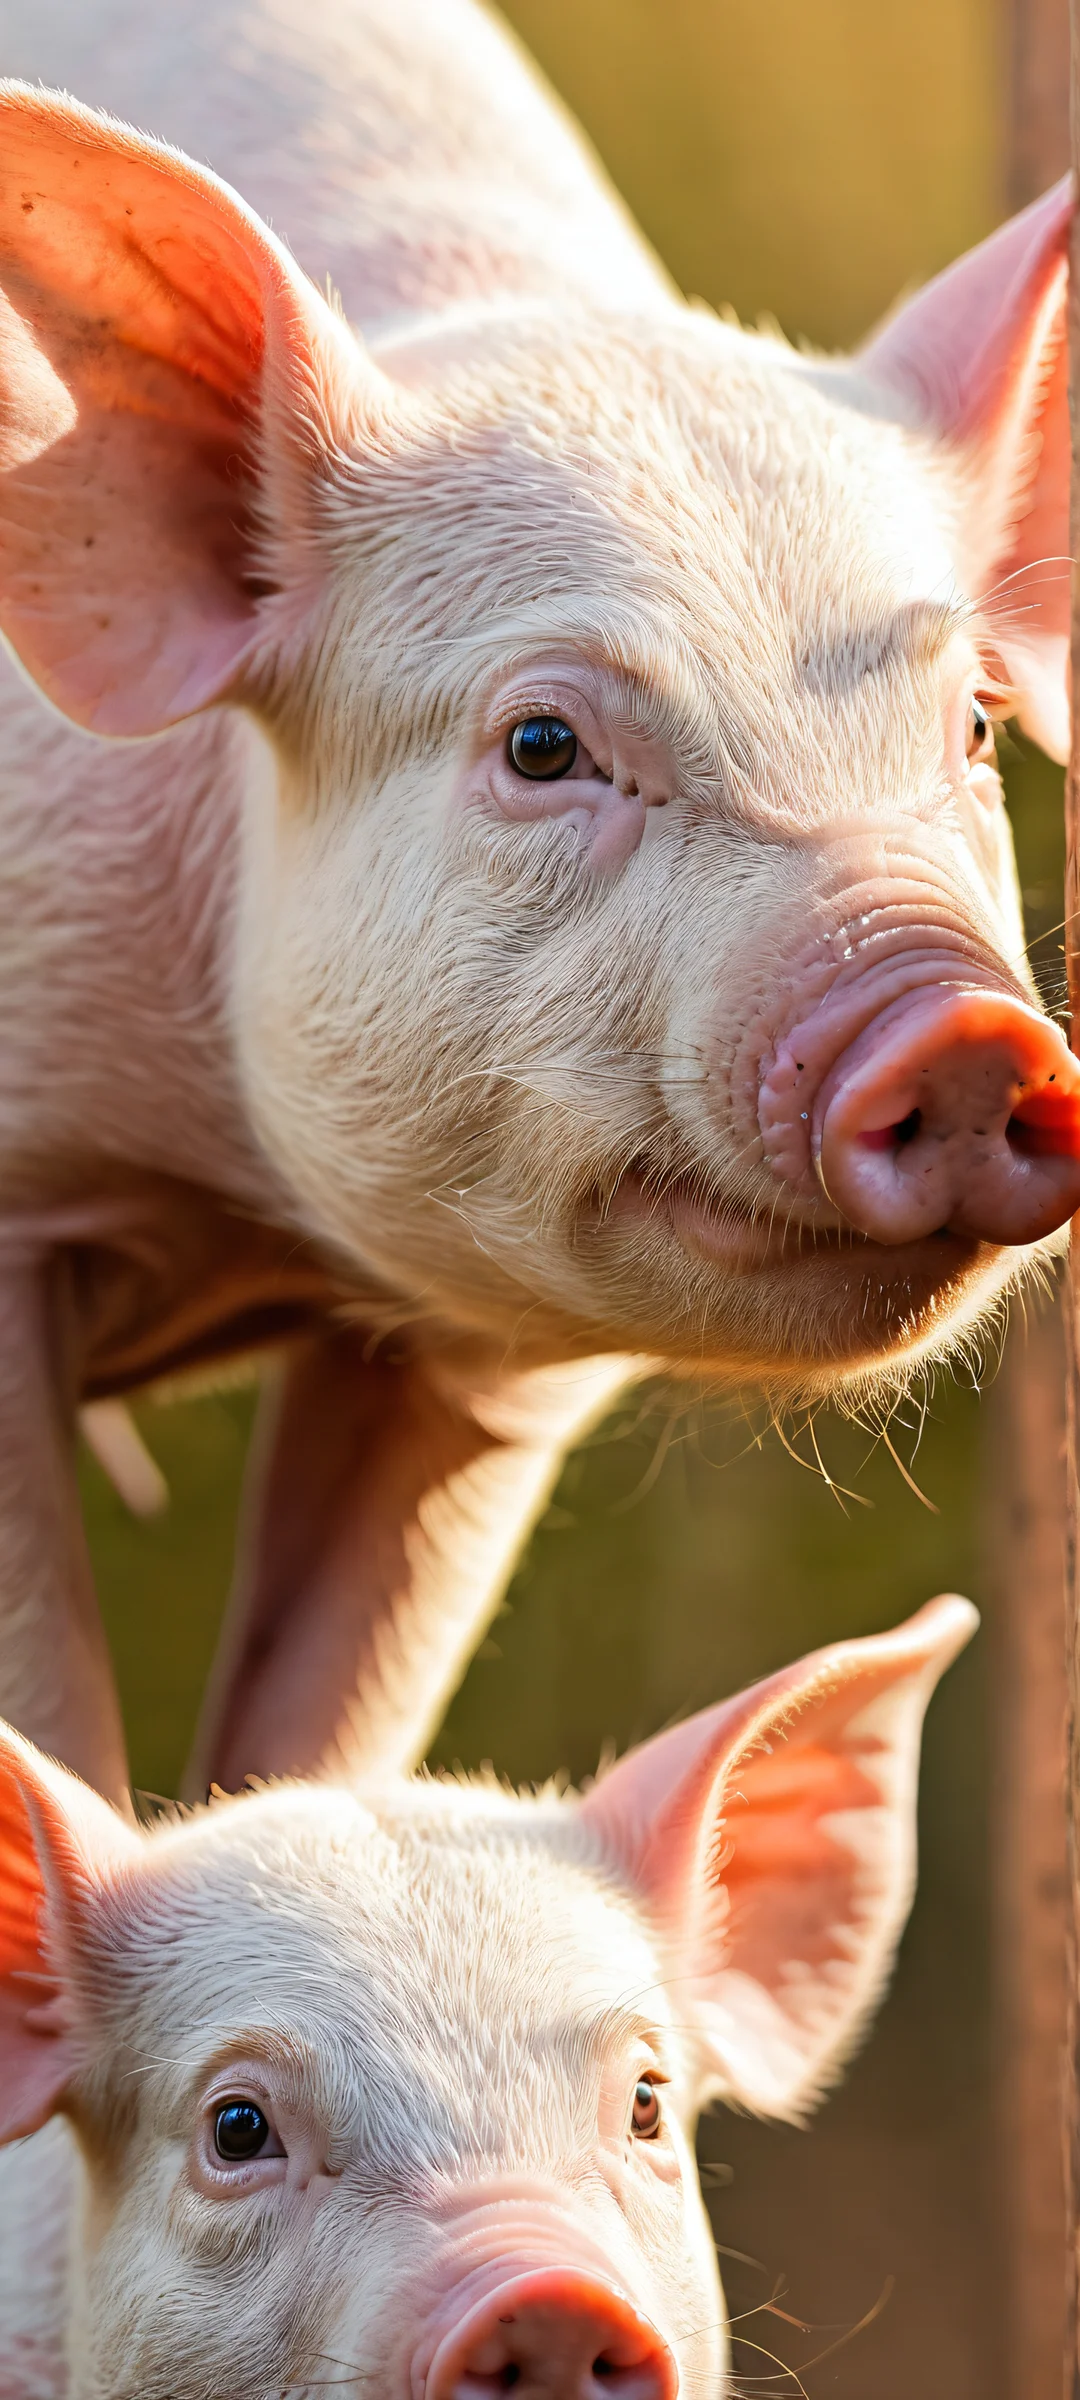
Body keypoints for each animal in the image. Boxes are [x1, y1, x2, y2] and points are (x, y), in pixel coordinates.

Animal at [0, 0, 1073, 1811]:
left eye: (978, 728)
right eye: (544, 743)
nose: (968, 1028)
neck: (229, 1201)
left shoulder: (476, 1379)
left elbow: (330, 1723)